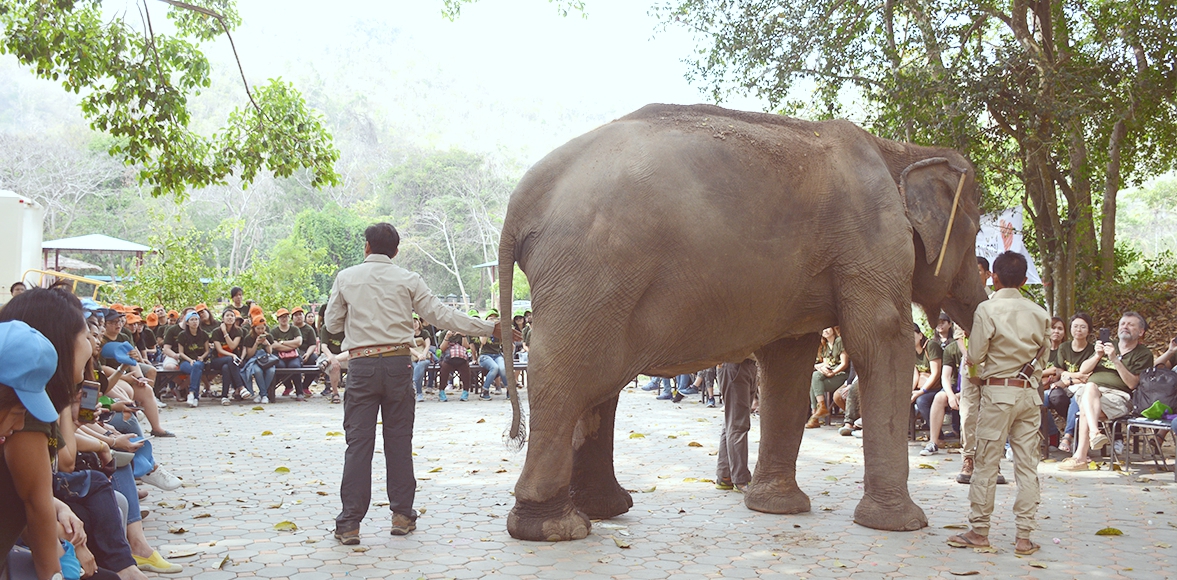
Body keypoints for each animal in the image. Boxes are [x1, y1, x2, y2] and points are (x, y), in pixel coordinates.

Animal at [491, 101, 988, 541]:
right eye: (977, 231)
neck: (898, 150)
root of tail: (521, 201)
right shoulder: (871, 243)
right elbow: (883, 340)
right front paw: (903, 525)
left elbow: (790, 360)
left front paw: (775, 508)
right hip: (589, 272)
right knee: (567, 378)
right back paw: (558, 528)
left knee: (597, 384)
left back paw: (601, 510)